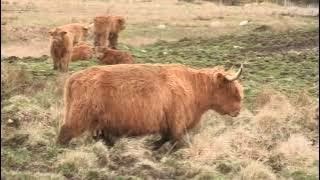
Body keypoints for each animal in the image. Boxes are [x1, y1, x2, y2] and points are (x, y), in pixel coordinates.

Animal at [57, 63, 244, 149]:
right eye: (234, 91)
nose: (238, 111)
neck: (193, 87)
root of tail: (74, 78)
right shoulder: (177, 123)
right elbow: (176, 142)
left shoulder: (168, 124)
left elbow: (165, 139)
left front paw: (152, 147)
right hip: (79, 117)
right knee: (64, 134)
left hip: (99, 122)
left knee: (103, 138)